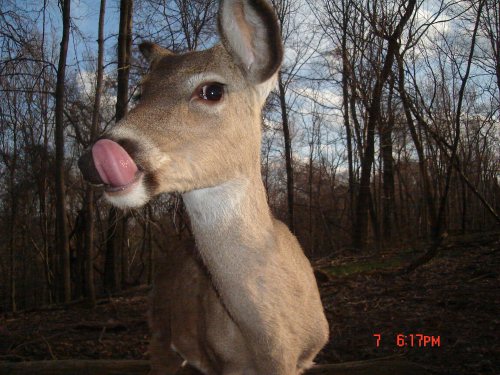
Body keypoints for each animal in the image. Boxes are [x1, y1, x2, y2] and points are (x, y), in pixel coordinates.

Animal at [77, 0, 328, 374]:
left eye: (212, 90)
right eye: (141, 92)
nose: (93, 160)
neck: (273, 346)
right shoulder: (224, 363)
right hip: (158, 335)